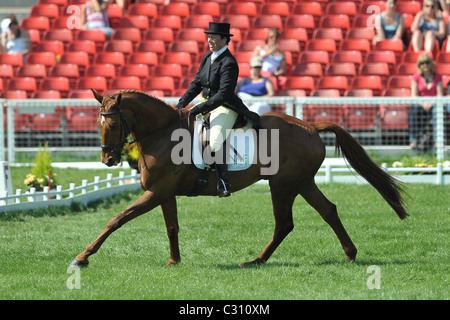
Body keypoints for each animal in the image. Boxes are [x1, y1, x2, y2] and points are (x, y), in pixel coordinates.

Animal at [69, 89, 408, 268]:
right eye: (98, 123)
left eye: (113, 124)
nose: (109, 159)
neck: (163, 135)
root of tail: (310, 125)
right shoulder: (163, 193)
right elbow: (172, 227)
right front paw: (174, 262)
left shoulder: (156, 193)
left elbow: (116, 219)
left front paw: (82, 257)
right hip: (302, 183)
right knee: (328, 211)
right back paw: (350, 254)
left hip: (282, 185)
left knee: (285, 223)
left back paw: (256, 261)